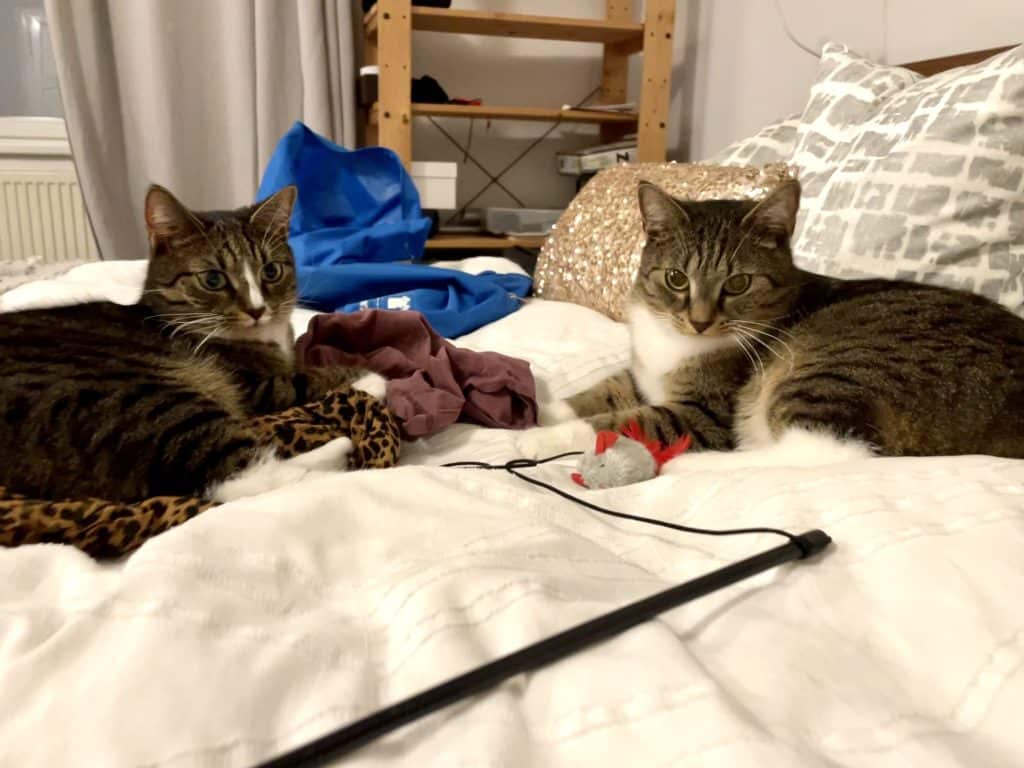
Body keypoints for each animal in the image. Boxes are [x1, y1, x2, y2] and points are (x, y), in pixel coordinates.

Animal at [0, 186, 385, 505]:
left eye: (271, 271)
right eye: (213, 279)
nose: (257, 309)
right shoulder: (250, 385)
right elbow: (303, 377)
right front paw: (372, 376)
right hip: (140, 399)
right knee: (241, 476)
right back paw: (341, 453)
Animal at [520, 180, 1024, 468]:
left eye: (739, 283)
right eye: (677, 278)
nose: (699, 322)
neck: (676, 341)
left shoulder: (703, 412)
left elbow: (621, 421)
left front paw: (532, 440)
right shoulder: (641, 374)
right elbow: (600, 391)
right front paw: (538, 407)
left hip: (829, 366)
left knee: (825, 452)